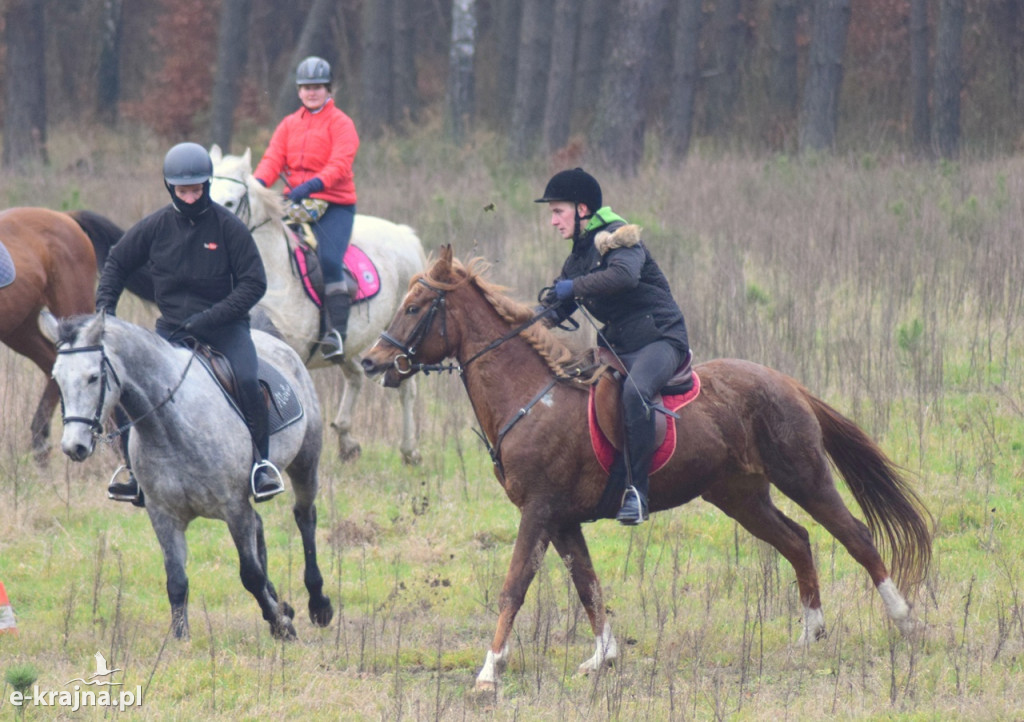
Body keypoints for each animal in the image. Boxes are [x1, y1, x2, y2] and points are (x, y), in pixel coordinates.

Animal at [44, 313, 331, 639]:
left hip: (305, 462)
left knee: (305, 518)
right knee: (259, 525)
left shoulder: (233, 508)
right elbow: (177, 580)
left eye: (93, 377)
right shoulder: (163, 515)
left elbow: (250, 575)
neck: (170, 427)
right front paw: (180, 638)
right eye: (57, 379)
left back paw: (319, 604)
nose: (74, 446)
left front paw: (282, 626)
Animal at [362, 247, 937, 692]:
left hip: (804, 476)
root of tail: (785, 381)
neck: (532, 397)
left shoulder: (539, 512)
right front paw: (604, 657)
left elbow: (515, 586)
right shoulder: (562, 519)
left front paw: (488, 673)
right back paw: (809, 634)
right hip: (740, 496)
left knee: (855, 535)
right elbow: (588, 585)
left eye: (414, 307)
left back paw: (905, 621)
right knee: (797, 541)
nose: (371, 362)